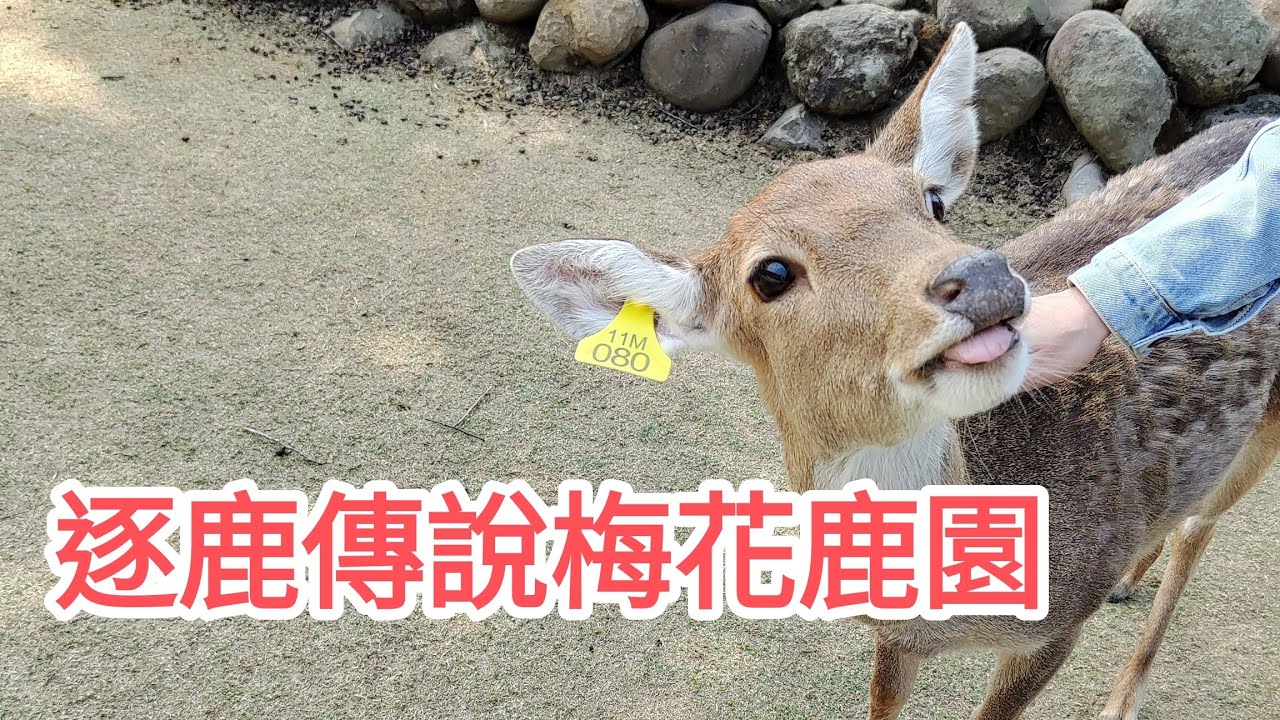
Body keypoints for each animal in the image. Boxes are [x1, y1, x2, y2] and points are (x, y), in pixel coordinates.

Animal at [508, 22, 1280, 720]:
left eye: (933, 201)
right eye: (771, 274)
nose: (983, 277)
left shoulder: (1059, 625)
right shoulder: (895, 641)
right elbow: (882, 701)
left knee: (1200, 527)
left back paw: (1122, 691)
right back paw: (1129, 577)